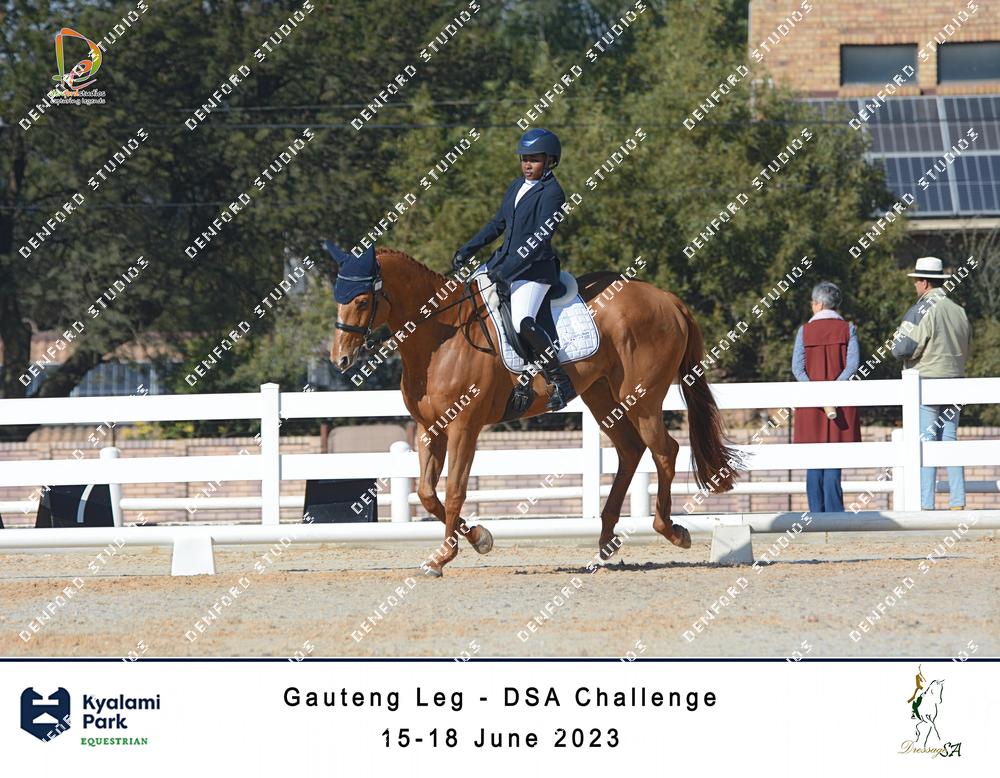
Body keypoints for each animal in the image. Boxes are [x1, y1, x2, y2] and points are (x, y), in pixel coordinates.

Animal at [325, 244, 742, 576]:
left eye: (362, 301)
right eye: (338, 297)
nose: (339, 359)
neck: (441, 337)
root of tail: (667, 298)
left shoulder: (464, 428)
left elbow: (455, 490)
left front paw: (444, 557)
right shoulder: (431, 429)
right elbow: (428, 493)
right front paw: (479, 538)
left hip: (641, 397)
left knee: (664, 450)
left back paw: (671, 530)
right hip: (602, 396)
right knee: (630, 449)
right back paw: (606, 541)